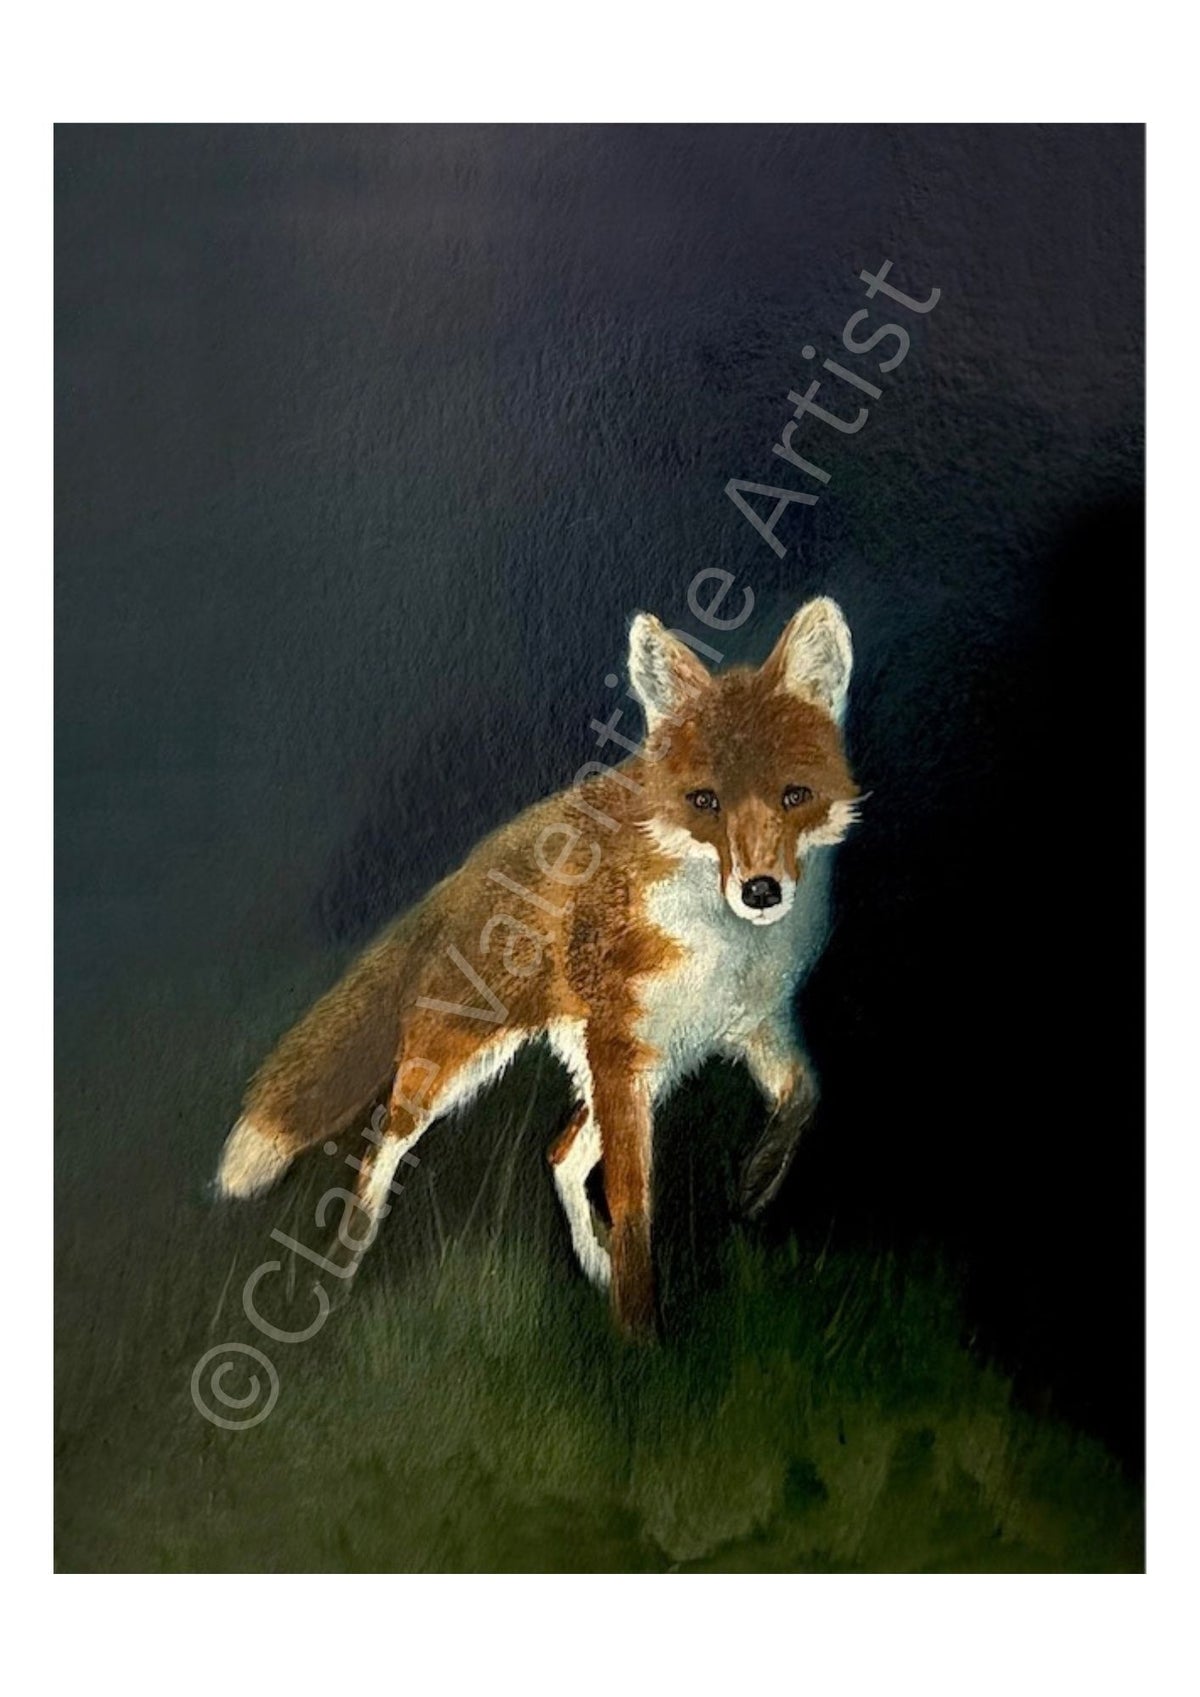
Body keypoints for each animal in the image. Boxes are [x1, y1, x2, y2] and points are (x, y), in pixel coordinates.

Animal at [215, 596, 859, 1334]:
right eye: (706, 802)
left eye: (794, 795)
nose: (760, 891)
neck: (725, 944)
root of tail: (468, 870)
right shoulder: (625, 1052)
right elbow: (636, 1210)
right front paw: (640, 1336)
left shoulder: (744, 1025)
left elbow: (803, 1094)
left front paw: (754, 1183)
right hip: (458, 1064)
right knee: (384, 1146)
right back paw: (344, 1267)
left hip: (639, 1067)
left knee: (557, 1154)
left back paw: (592, 1263)